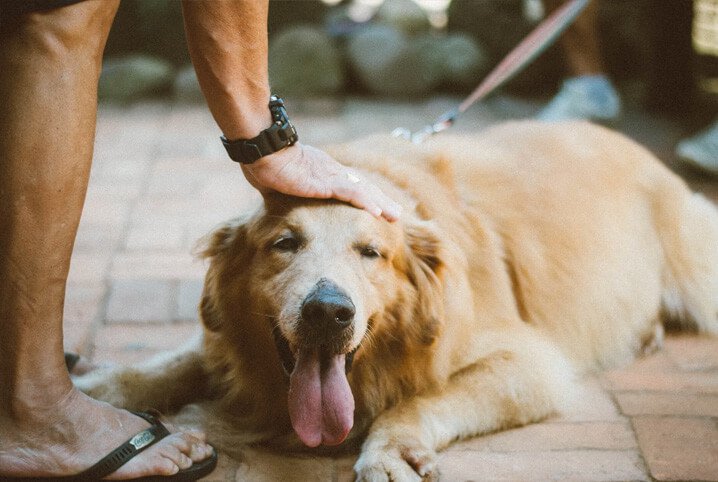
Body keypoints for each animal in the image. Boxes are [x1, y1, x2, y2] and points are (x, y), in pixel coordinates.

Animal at [76, 121, 716, 482]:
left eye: (372, 253)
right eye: (285, 243)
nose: (328, 312)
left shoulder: (530, 364)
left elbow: (420, 400)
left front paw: (392, 449)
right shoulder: (225, 341)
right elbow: (170, 364)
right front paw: (98, 389)